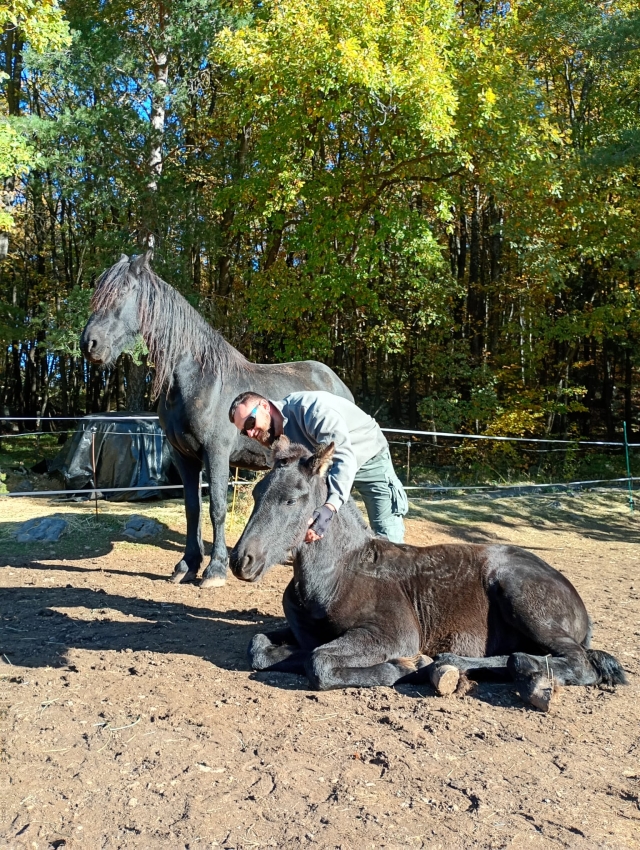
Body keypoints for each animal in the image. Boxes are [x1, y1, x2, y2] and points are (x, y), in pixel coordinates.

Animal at [80, 253, 353, 588]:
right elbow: (192, 509)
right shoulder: (183, 457)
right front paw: (187, 565)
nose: (89, 344)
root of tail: (337, 382)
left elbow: (217, 508)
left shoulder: (217, 454)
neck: (196, 380)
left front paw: (215, 570)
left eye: (123, 292)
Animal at [229, 438, 627, 711]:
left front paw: (403, 666)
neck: (337, 573)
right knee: (523, 656)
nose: (241, 560)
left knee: (580, 662)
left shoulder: (394, 633)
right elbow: (262, 648)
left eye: (293, 499)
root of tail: (577, 600)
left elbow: (320, 662)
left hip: (521, 597)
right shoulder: (303, 632)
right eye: (257, 492)